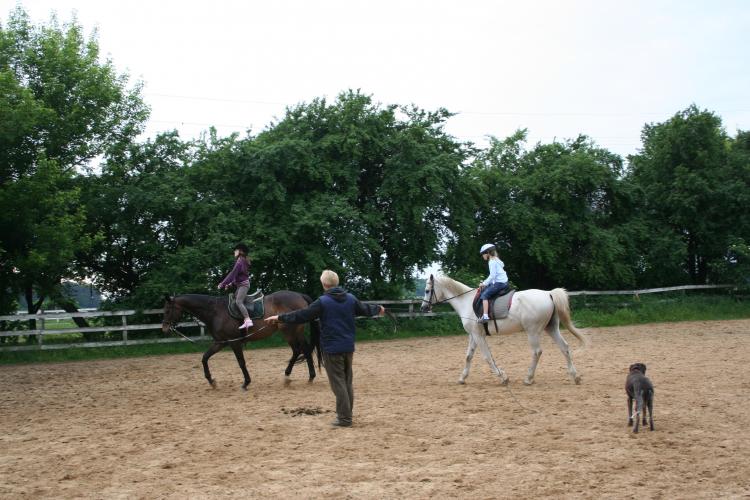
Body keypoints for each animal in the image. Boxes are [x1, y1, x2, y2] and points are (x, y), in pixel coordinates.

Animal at [162, 292, 320, 390]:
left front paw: (246, 382)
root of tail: (299, 295)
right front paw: (211, 381)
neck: (215, 311)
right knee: (304, 350)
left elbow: (241, 362)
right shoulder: (220, 343)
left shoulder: (234, 342)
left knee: (298, 350)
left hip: (289, 332)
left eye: (167, 310)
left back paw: (291, 376)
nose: (164, 328)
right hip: (295, 333)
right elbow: (204, 358)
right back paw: (308, 376)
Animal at [424, 274, 588, 386]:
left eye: (427, 290)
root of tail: (548, 293)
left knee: (537, 352)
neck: (466, 302)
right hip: (551, 328)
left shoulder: (478, 336)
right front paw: (462, 378)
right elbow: (468, 356)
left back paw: (528, 378)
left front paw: (503, 377)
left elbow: (487, 357)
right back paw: (575, 376)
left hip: (533, 331)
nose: (423, 308)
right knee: (564, 347)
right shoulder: (473, 335)